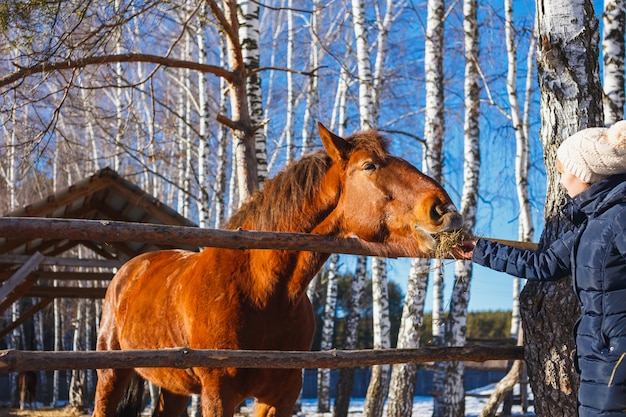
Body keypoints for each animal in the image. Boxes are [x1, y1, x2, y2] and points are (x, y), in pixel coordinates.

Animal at [92, 122, 464, 414]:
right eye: (369, 166)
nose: (444, 210)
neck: (262, 291)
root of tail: (128, 271)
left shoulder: (281, 397)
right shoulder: (218, 396)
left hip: (173, 386)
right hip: (111, 374)